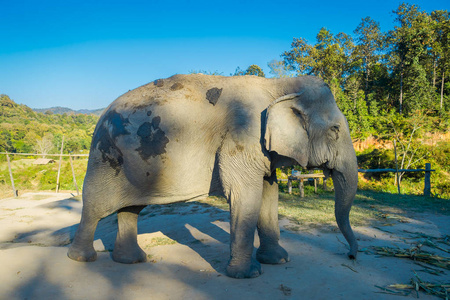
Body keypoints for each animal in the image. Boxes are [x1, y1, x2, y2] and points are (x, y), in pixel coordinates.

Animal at [67, 74, 358, 278]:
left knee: (131, 209)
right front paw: (249, 274)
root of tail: (99, 116)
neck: (279, 84)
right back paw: (81, 259)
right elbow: (245, 195)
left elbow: (269, 193)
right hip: (105, 158)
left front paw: (279, 260)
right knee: (96, 206)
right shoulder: (241, 136)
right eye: (334, 130)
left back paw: (133, 260)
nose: (351, 256)